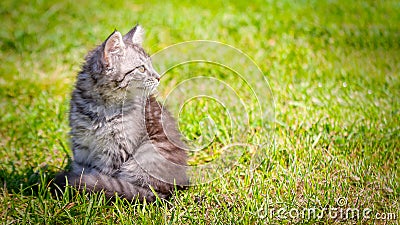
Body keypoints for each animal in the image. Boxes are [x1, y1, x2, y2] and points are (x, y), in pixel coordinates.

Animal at [53, 25, 189, 202]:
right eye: (141, 68)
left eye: (150, 66)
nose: (159, 77)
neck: (100, 108)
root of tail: (174, 188)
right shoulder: (82, 144)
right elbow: (82, 170)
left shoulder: (115, 149)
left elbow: (101, 177)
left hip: (147, 153)